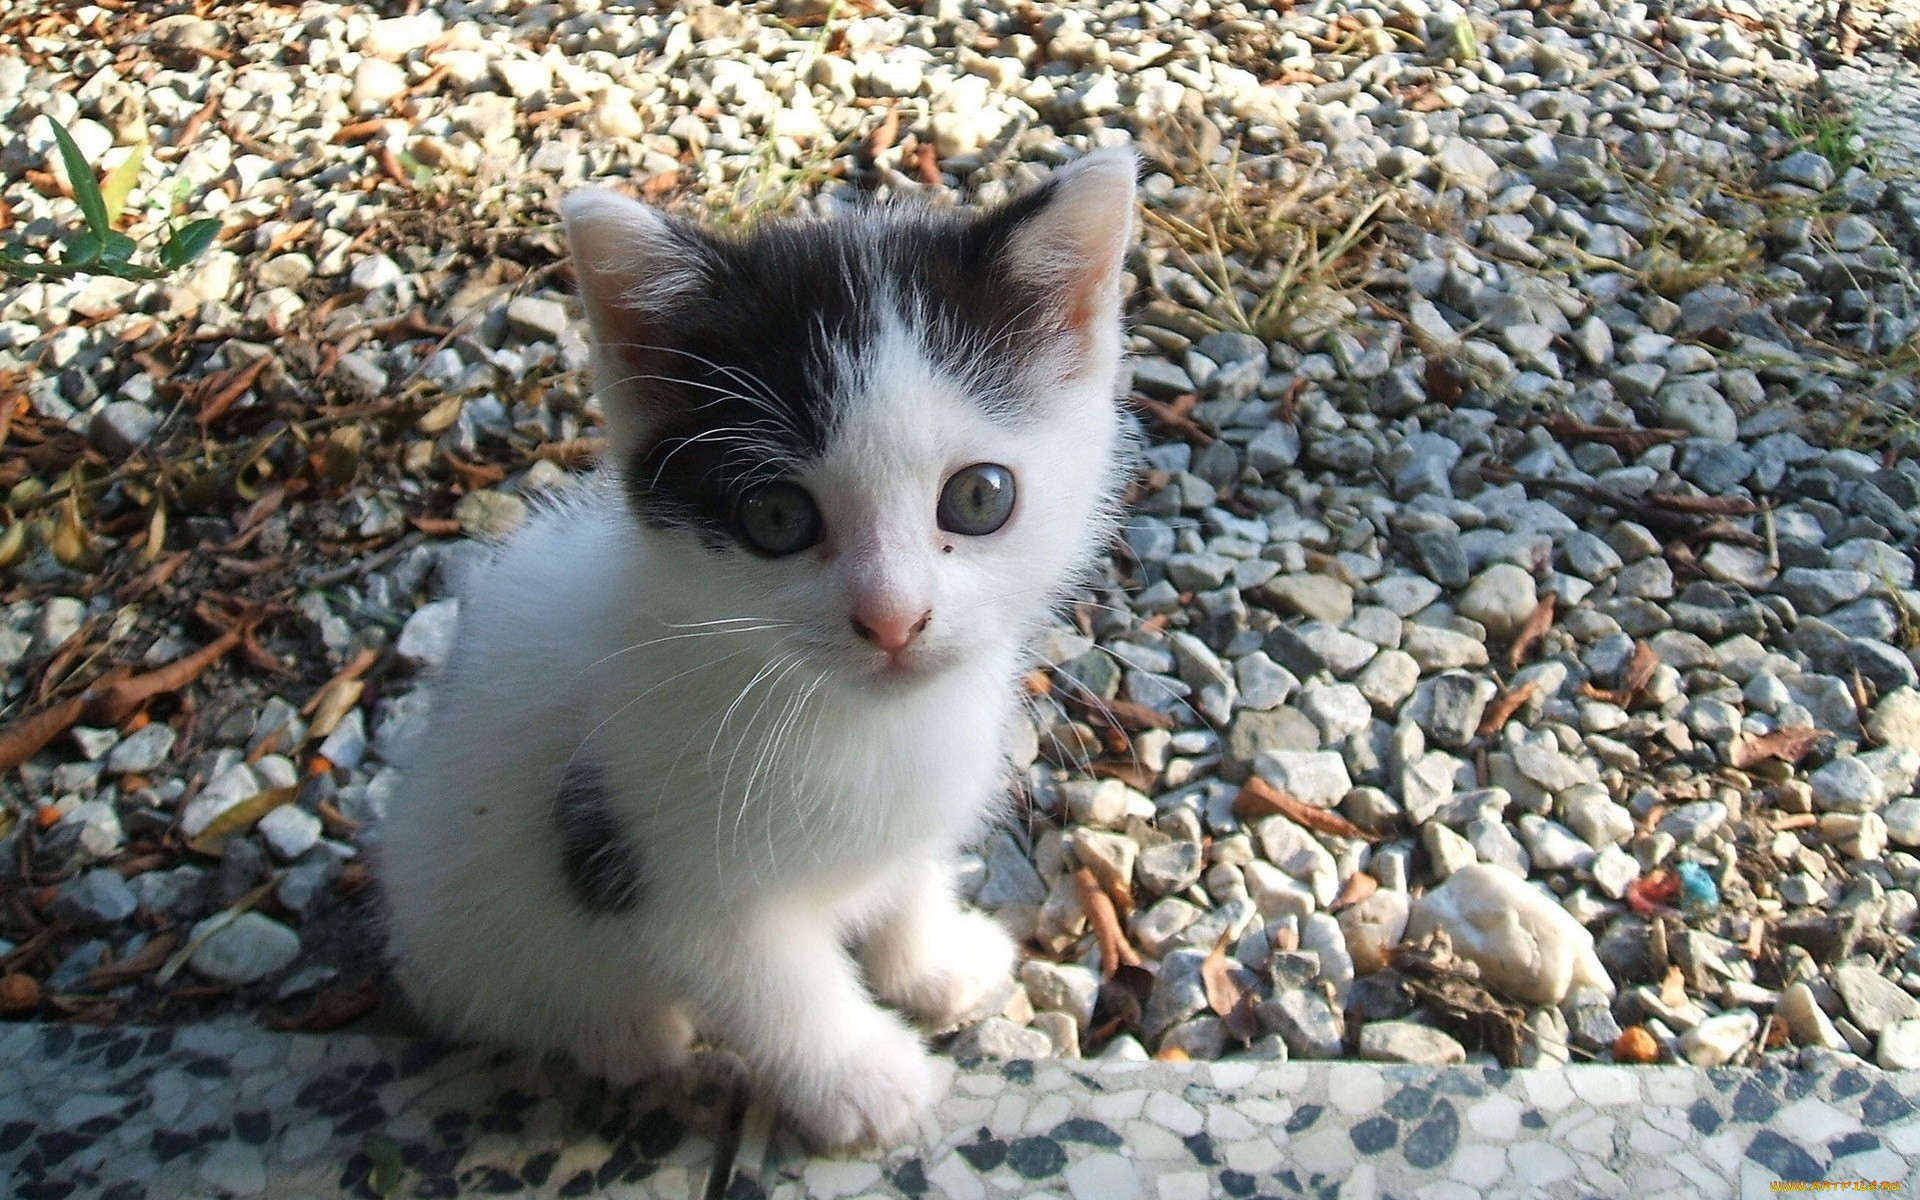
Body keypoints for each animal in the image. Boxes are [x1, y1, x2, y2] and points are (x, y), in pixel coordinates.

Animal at [382, 149, 1144, 1152]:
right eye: (776, 517)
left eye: (980, 498)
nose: (892, 619)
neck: (855, 724)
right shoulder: (655, 863)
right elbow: (774, 987)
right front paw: (864, 1081)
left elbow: (907, 876)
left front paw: (932, 963)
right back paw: (626, 1035)